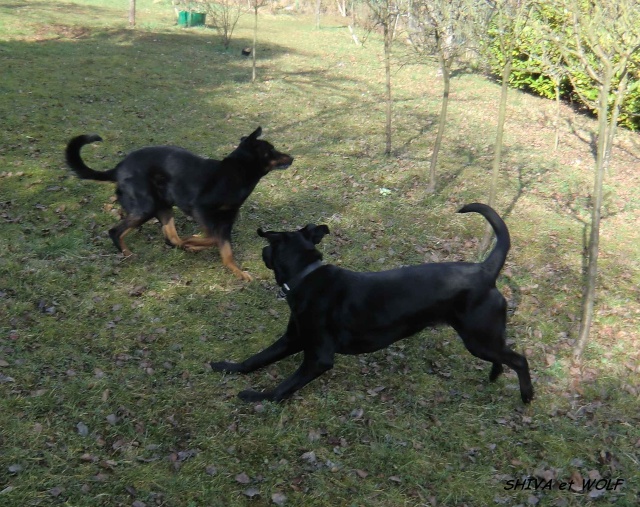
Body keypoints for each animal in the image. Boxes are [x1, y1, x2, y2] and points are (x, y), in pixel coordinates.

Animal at [65, 125, 292, 280]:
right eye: (271, 150)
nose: (291, 157)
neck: (236, 172)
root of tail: (118, 168)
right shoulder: (201, 209)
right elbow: (212, 238)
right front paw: (193, 240)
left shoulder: (227, 220)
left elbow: (225, 250)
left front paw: (237, 271)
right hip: (145, 207)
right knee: (115, 231)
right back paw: (128, 254)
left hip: (164, 206)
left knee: (171, 238)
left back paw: (186, 247)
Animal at [212, 203, 532, 404]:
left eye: (268, 246)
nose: (263, 252)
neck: (307, 275)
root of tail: (486, 270)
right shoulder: (293, 338)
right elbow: (257, 358)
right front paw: (227, 367)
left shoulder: (319, 357)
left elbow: (285, 385)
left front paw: (259, 397)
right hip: (484, 339)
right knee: (503, 358)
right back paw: (493, 377)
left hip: (478, 338)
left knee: (519, 359)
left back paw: (527, 396)